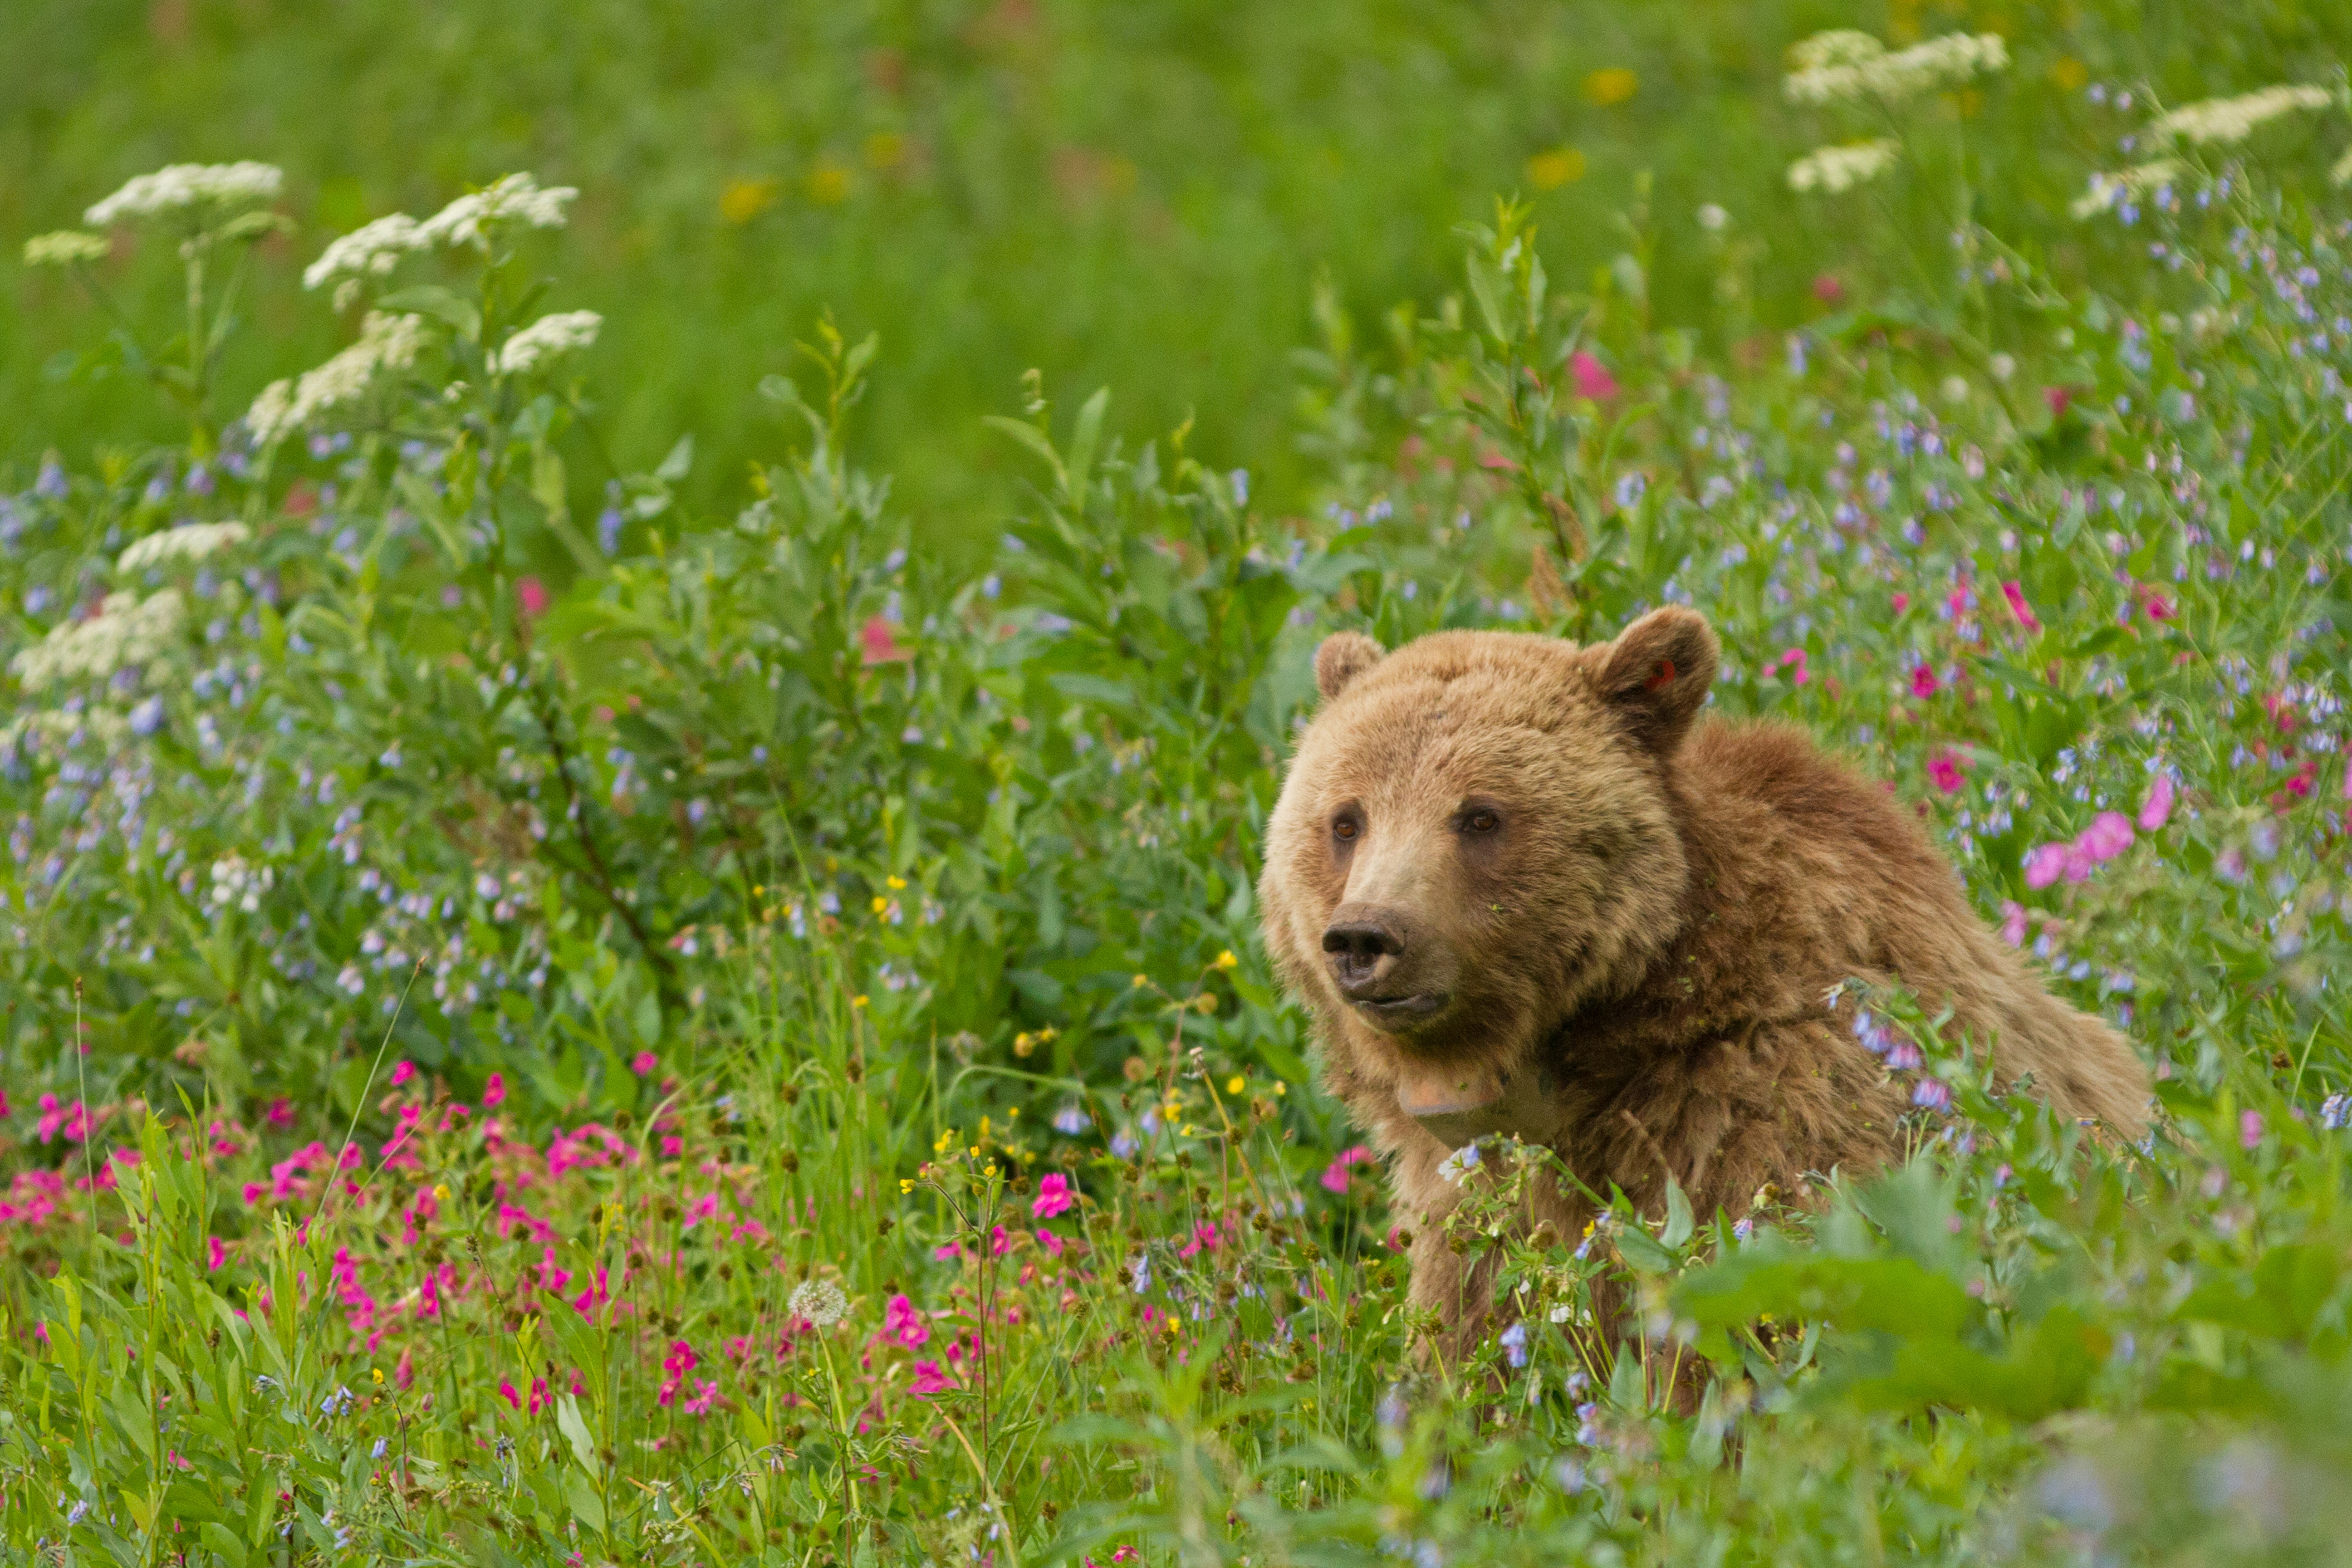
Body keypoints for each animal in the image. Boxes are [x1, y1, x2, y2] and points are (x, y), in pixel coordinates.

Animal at [1270, 606, 2154, 1363]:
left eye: (1480, 815)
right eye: (1345, 820)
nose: (1367, 937)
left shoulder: (1768, 1114)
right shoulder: (1468, 1200)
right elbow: (1471, 1343)